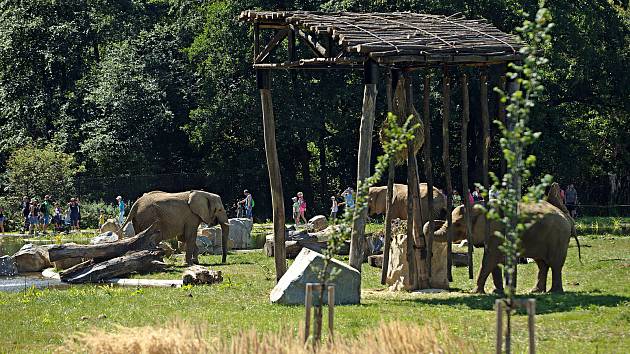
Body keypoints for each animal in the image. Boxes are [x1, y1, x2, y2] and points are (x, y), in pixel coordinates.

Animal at [430, 201, 584, 294]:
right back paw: (535, 291)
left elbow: (490, 258)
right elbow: (493, 260)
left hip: (558, 238)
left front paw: (475, 292)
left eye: (457, 224)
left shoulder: (497, 229)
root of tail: (569, 218)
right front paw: (496, 292)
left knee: (555, 264)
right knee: (542, 264)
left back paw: (554, 292)